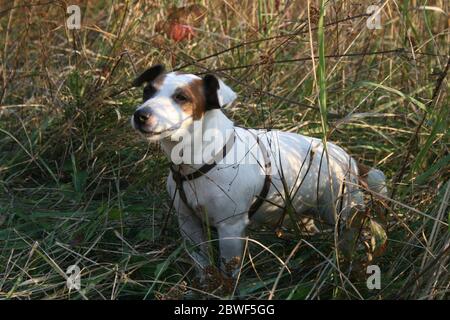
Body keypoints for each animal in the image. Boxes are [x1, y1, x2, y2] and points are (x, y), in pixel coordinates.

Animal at [130, 63, 386, 278]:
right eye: (148, 91)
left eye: (181, 97)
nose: (140, 115)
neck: (200, 158)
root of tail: (349, 159)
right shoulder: (188, 223)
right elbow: (202, 263)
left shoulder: (230, 229)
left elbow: (229, 271)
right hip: (304, 211)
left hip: (343, 213)